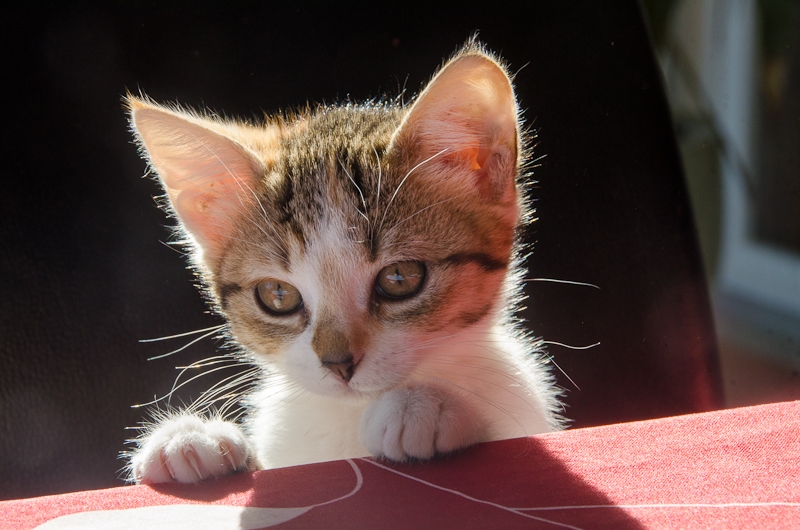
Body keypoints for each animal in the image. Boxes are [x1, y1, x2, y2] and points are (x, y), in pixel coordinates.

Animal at [125, 41, 564, 482]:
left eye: (400, 278)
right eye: (277, 294)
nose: (338, 364)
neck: (348, 417)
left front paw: (422, 404)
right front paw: (192, 438)